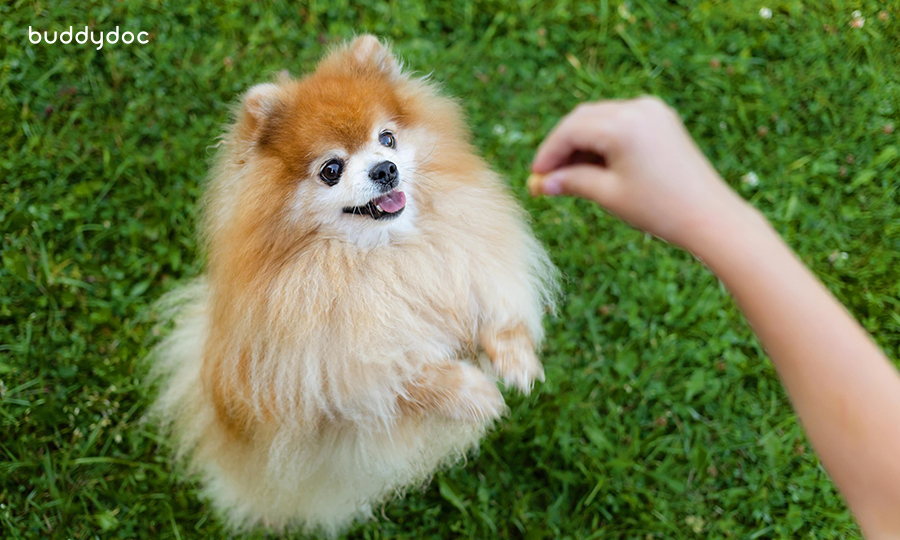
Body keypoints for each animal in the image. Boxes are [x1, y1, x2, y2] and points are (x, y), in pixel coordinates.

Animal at [148, 34, 556, 536]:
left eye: (387, 138)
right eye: (331, 170)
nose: (385, 169)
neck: (382, 254)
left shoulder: (472, 265)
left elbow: (495, 311)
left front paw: (517, 360)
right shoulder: (334, 368)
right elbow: (405, 377)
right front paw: (475, 394)